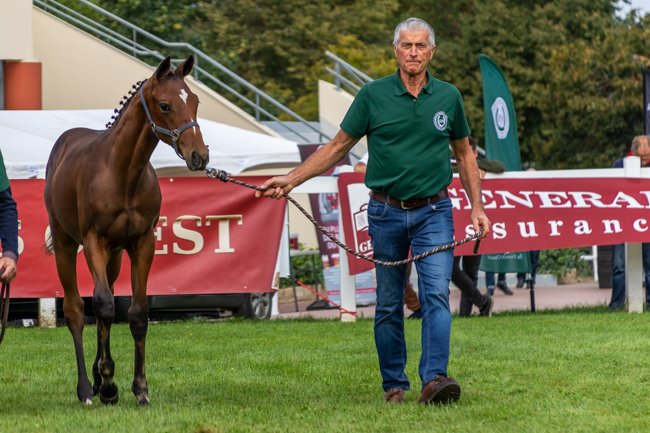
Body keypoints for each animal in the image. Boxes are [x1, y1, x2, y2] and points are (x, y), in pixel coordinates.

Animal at [44, 55, 209, 405]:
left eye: (195, 101)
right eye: (165, 105)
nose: (200, 156)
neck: (123, 174)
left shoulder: (141, 243)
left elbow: (136, 312)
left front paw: (139, 388)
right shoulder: (95, 241)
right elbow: (104, 305)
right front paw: (108, 383)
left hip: (116, 257)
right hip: (66, 244)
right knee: (77, 308)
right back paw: (86, 388)